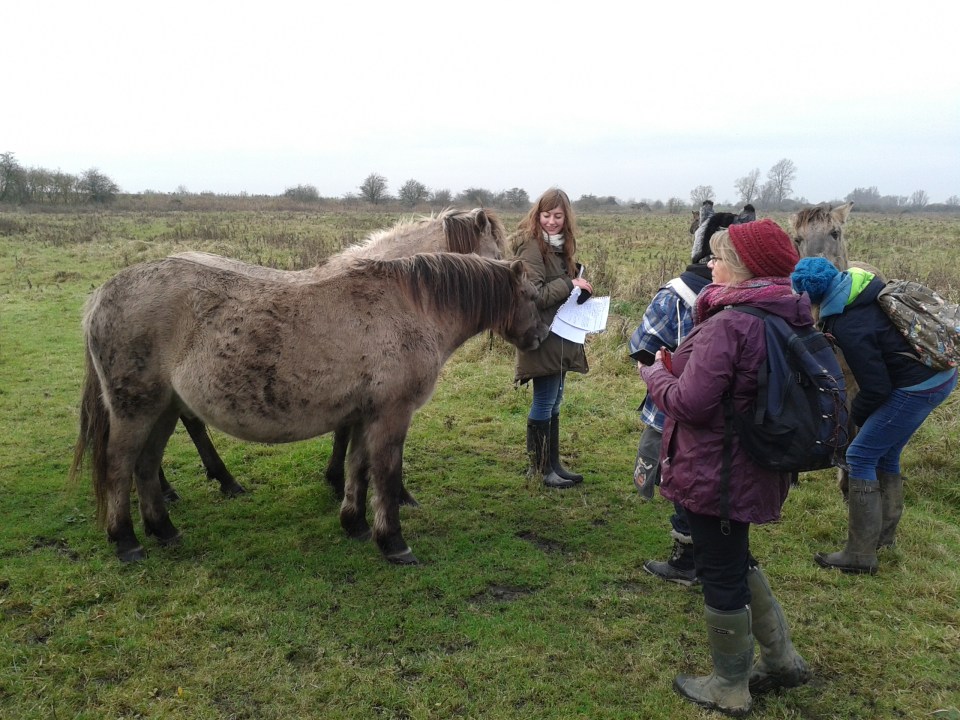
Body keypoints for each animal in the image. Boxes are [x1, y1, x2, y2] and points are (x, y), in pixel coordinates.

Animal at [70, 252, 549, 565]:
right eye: (531, 296)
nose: (541, 338)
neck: (408, 309)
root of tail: (100, 296)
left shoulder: (365, 415)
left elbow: (357, 468)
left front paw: (354, 524)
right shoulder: (391, 416)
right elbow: (386, 475)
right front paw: (393, 542)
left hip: (165, 410)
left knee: (146, 466)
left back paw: (164, 530)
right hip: (136, 410)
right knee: (119, 467)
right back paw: (126, 540)